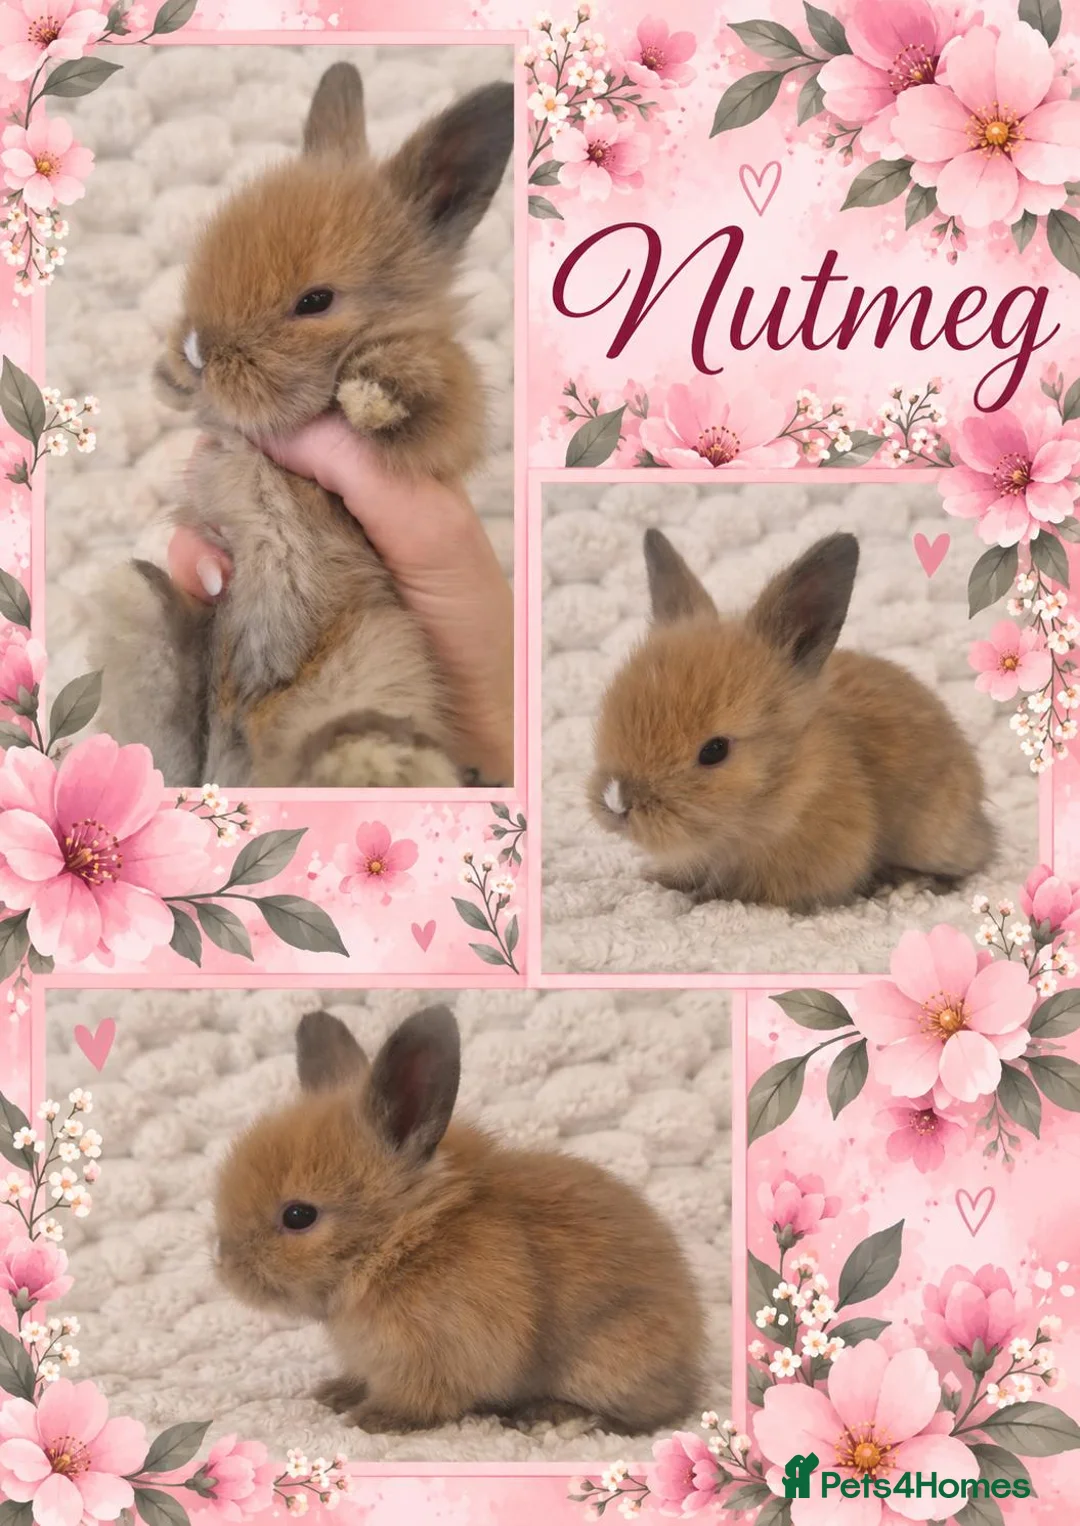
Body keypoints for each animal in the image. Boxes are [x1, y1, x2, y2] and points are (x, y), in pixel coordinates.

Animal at [92, 62, 514, 788]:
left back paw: (378, 758)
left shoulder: (444, 433)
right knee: (158, 721)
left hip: (375, 654)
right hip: (167, 623)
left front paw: (374, 389)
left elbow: (441, 391)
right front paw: (167, 377)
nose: (197, 351)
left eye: (316, 301)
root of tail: (236, 746)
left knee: (339, 735)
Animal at [214, 1006, 705, 1434]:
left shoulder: (438, 1357)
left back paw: (550, 1415)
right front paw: (336, 1393)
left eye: (298, 1216)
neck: (405, 1242)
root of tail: (690, 1369)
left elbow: (422, 1400)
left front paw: (372, 1418)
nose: (226, 1270)